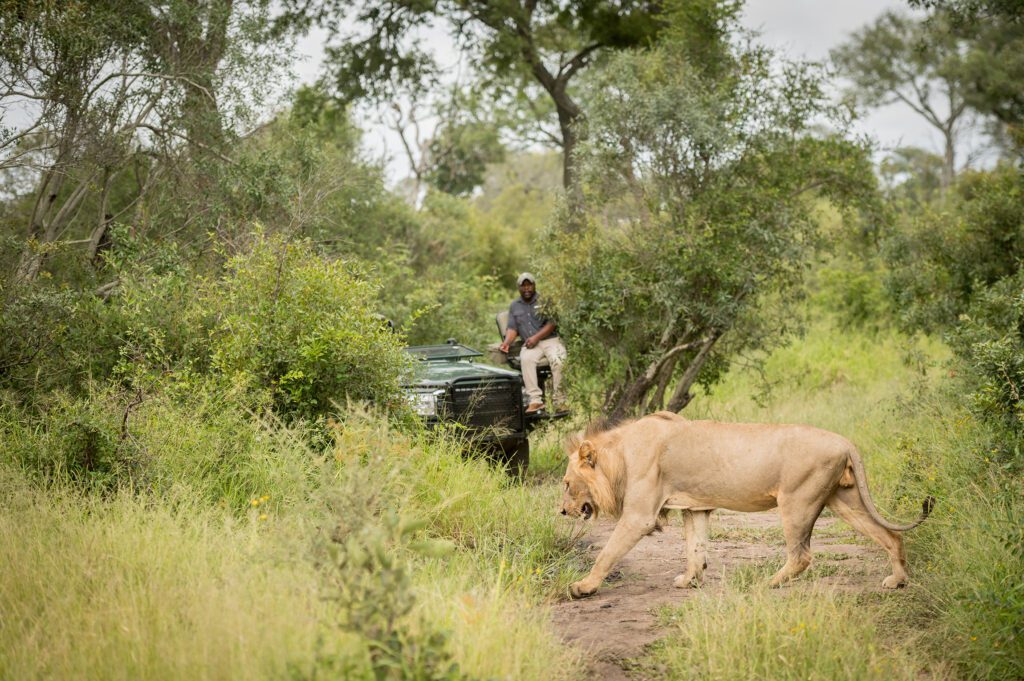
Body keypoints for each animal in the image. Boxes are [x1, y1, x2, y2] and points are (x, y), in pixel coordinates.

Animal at [560, 412, 934, 598]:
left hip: (796, 501)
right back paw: (897, 581)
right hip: (845, 501)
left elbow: (607, 553)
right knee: (891, 536)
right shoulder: (695, 508)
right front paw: (689, 581)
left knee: (801, 556)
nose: (561, 512)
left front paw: (584, 587)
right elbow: (695, 548)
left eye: (566, 484)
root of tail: (845, 441)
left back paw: (768, 584)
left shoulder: (640, 515)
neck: (619, 454)